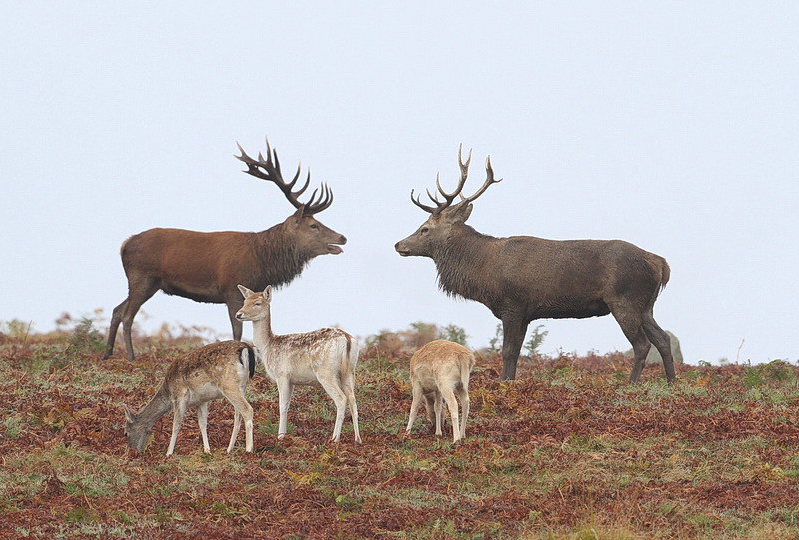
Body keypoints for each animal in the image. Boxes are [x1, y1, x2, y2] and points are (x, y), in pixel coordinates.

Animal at [104, 138, 347, 361]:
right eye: (314, 225)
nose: (342, 237)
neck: (263, 260)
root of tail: (124, 244)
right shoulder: (231, 289)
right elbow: (236, 331)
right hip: (142, 277)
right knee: (127, 315)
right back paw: (131, 357)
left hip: (148, 283)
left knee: (116, 310)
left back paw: (107, 354)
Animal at [123, 340, 256, 456]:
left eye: (126, 433)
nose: (133, 451)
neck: (168, 392)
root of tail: (246, 348)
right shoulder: (201, 400)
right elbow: (202, 423)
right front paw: (207, 450)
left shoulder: (180, 396)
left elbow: (176, 424)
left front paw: (168, 453)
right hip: (242, 386)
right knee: (238, 415)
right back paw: (229, 449)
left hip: (228, 384)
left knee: (247, 409)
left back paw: (249, 449)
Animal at [235, 284, 362, 443]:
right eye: (244, 301)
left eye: (257, 303)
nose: (239, 314)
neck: (267, 347)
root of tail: (347, 339)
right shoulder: (292, 380)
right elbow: (288, 405)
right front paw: (283, 434)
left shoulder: (282, 374)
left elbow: (282, 406)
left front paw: (280, 436)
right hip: (350, 371)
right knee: (353, 399)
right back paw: (358, 439)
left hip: (325, 372)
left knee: (341, 399)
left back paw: (334, 438)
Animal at [394, 145, 675, 384]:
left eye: (424, 228)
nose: (398, 244)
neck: (482, 271)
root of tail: (660, 264)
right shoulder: (527, 312)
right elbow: (517, 352)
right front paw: (510, 381)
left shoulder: (512, 304)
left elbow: (507, 350)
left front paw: (503, 383)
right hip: (646, 305)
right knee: (663, 339)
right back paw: (672, 382)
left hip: (624, 299)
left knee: (642, 344)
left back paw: (631, 383)